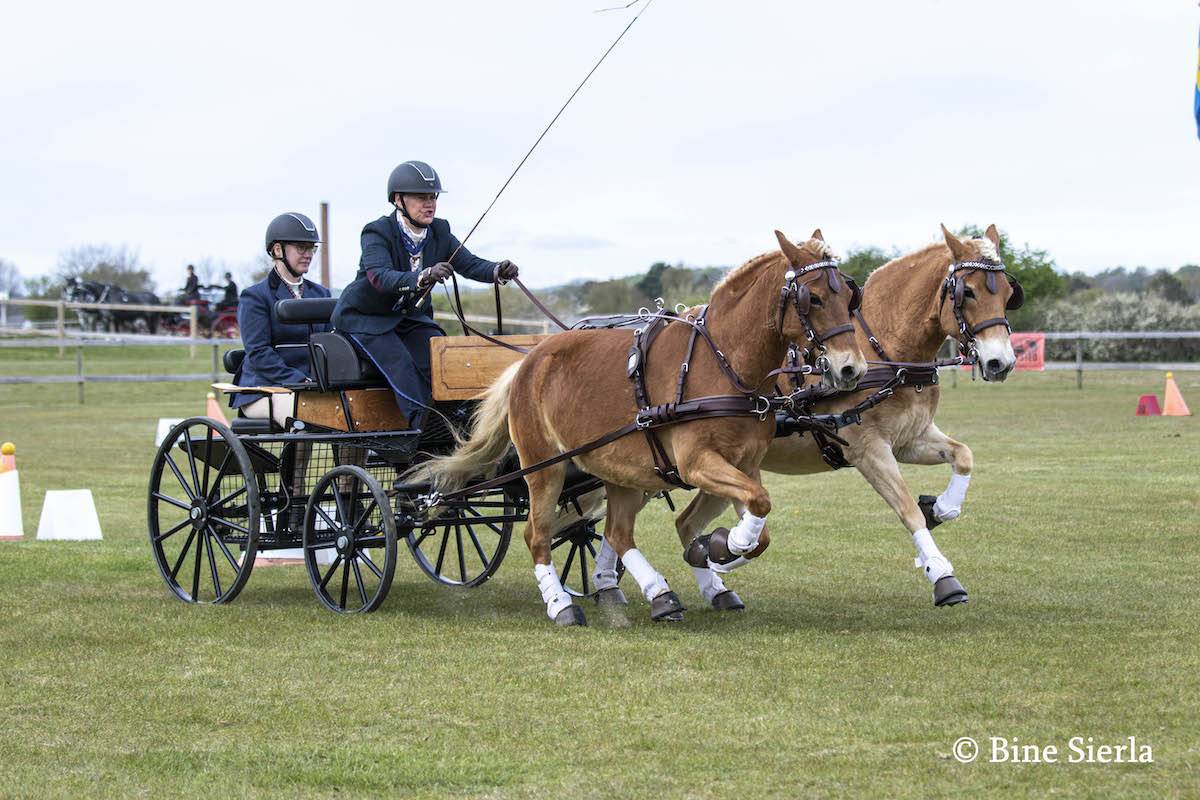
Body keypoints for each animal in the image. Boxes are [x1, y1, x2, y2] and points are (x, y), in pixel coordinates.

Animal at [420, 230, 868, 626]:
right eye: (813, 297)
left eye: (850, 296)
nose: (851, 368)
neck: (723, 365)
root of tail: (526, 362)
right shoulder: (696, 463)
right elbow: (758, 506)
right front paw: (718, 549)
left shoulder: (745, 465)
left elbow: (760, 524)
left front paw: (715, 551)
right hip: (544, 468)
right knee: (538, 535)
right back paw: (561, 604)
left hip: (619, 470)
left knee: (617, 533)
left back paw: (660, 595)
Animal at [666, 224, 1021, 609]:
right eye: (967, 292)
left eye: (1008, 293)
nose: (1001, 362)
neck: (887, 352)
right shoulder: (869, 450)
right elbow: (907, 508)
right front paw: (941, 574)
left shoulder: (910, 439)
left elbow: (963, 456)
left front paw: (940, 508)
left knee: (686, 524)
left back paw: (716, 581)